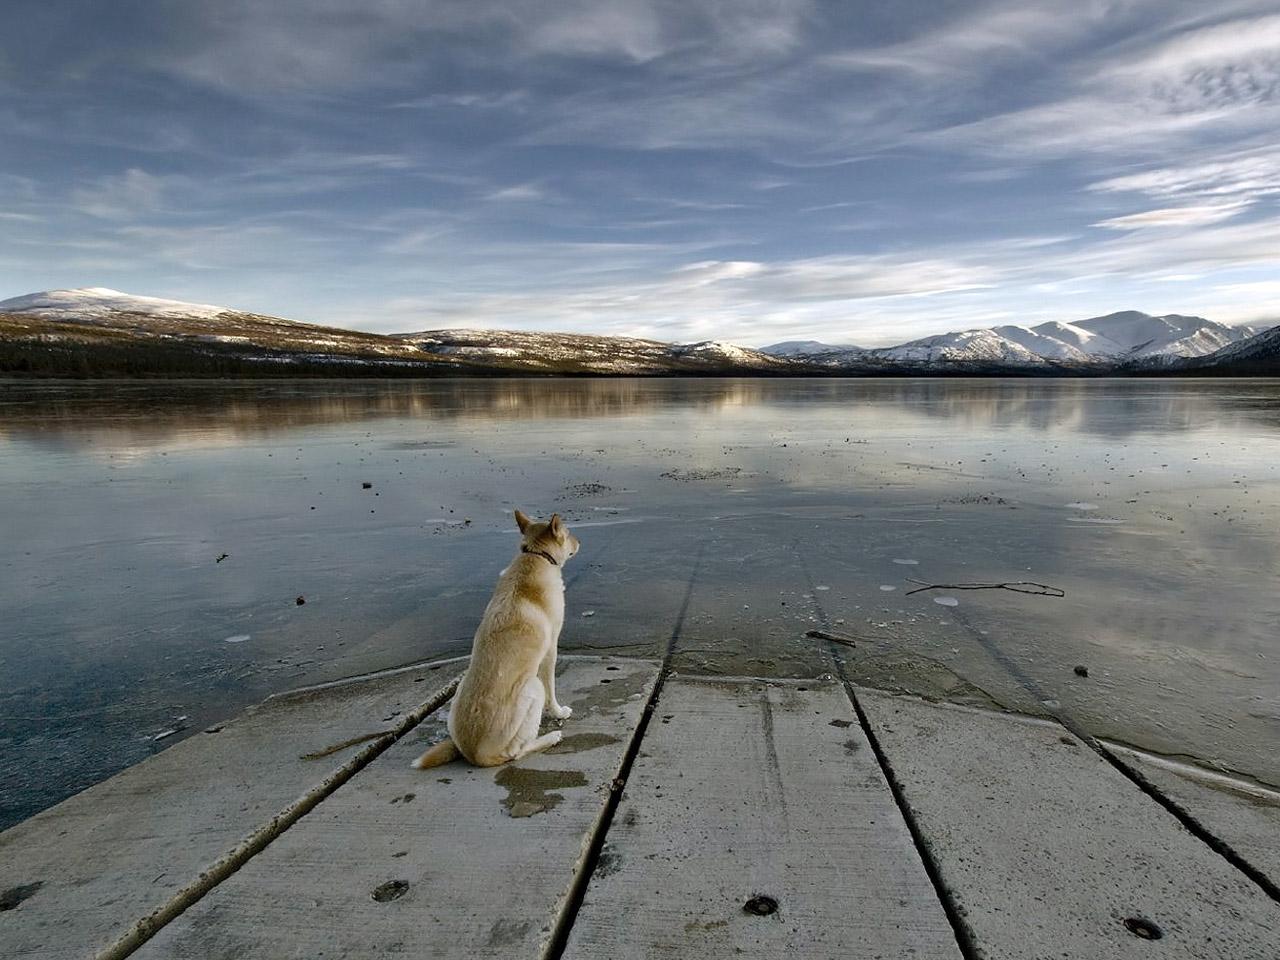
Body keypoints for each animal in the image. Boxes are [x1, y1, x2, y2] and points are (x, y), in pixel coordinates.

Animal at [409, 514, 581, 773]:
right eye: (568, 533)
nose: (579, 542)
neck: (535, 555)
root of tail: (473, 755)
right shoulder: (551, 650)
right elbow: (551, 690)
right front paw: (559, 712)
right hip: (532, 687)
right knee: (515, 752)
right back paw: (551, 738)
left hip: (460, 690)